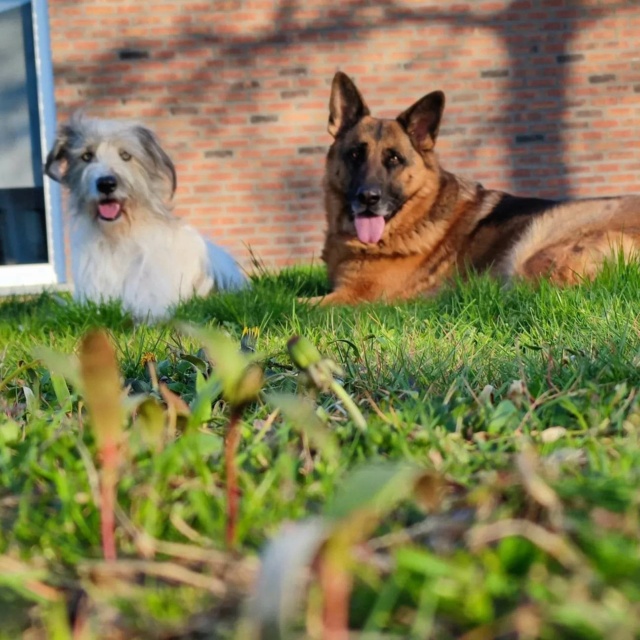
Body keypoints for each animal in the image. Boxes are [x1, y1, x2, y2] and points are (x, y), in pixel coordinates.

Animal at [318, 71, 640, 306]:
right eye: (355, 154)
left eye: (394, 159)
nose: (368, 198)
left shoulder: (353, 297)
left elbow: (305, 307)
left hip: (530, 252)